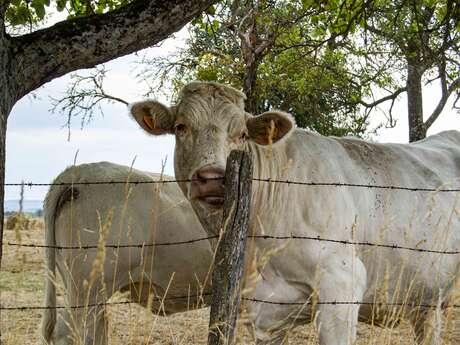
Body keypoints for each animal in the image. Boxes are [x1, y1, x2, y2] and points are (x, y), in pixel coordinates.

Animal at [128, 81, 460, 344]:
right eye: (180, 127)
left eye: (242, 134)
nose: (212, 177)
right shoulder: (266, 312)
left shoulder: (342, 284)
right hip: (426, 299)